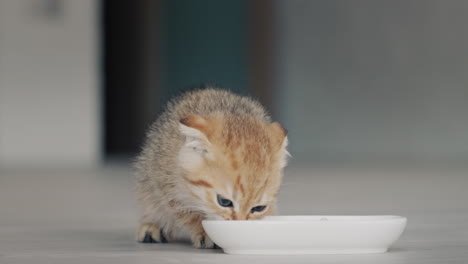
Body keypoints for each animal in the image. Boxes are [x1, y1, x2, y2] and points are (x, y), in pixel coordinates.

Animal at [134, 87, 288, 249]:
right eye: (224, 202)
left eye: (258, 208)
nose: (239, 225)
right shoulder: (166, 186)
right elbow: (187, 213)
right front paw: (205, 233)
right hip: (147, 176)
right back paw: (152, 226)